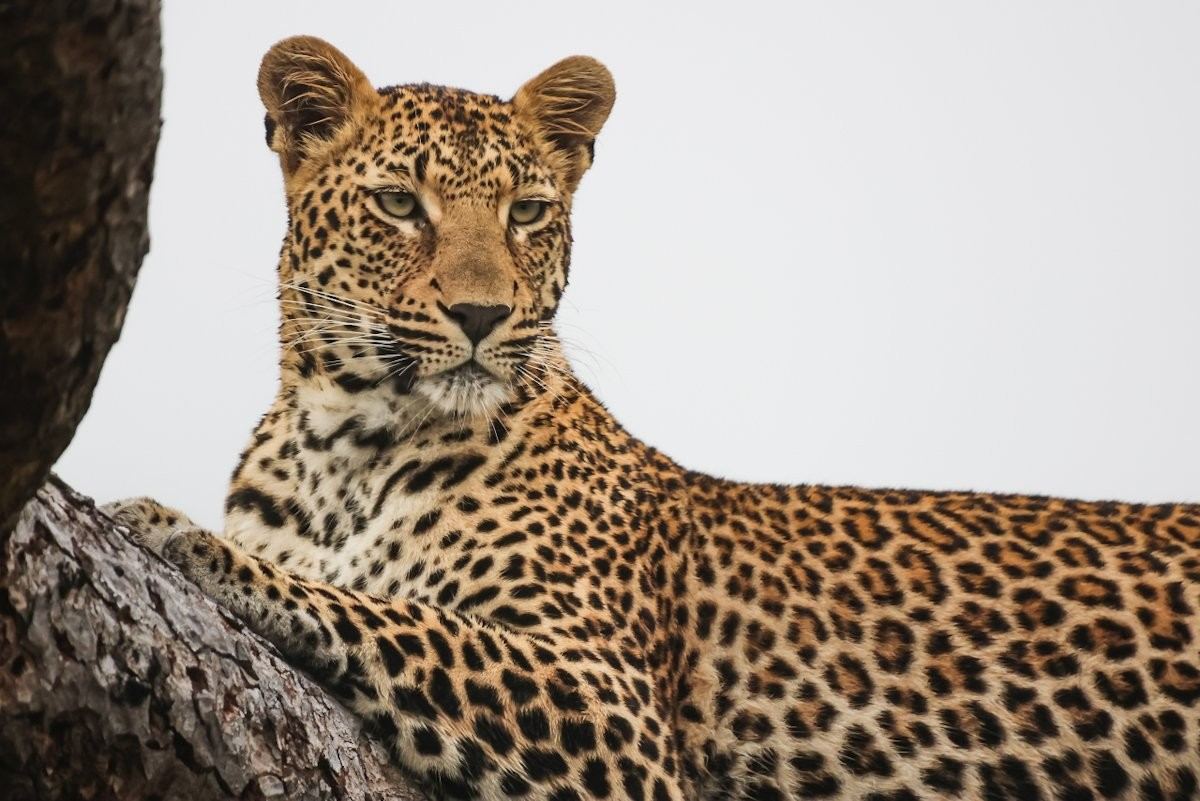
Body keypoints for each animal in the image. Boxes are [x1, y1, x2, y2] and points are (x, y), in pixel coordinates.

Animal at [104, 35, 1200, 801]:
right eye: (399, 204)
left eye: (529, 213)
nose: (482, 315)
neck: (347, 447)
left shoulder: (612, 705)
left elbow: (393, 615)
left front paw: (181, 535)